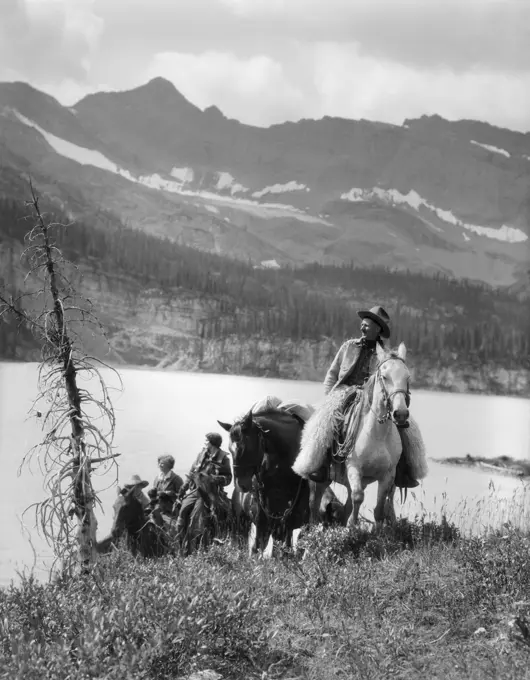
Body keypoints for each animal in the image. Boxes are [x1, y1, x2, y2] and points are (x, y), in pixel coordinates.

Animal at [218, 406, 310, 556]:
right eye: (230, 449)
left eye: (245, 447)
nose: (241, 485)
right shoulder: (264, 511)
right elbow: (259, 542)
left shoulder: (289, 515)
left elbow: (285, 543)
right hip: (240, 520)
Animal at [290, 342, 426, 528]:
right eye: (384, 377)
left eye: (407, 377)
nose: (401, 414)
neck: (377, 434)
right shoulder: (354, 468)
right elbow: (358, 497)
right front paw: (353, 528)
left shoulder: (388, 474)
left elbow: (379, 508)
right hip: (318, 478)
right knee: (314, 504)